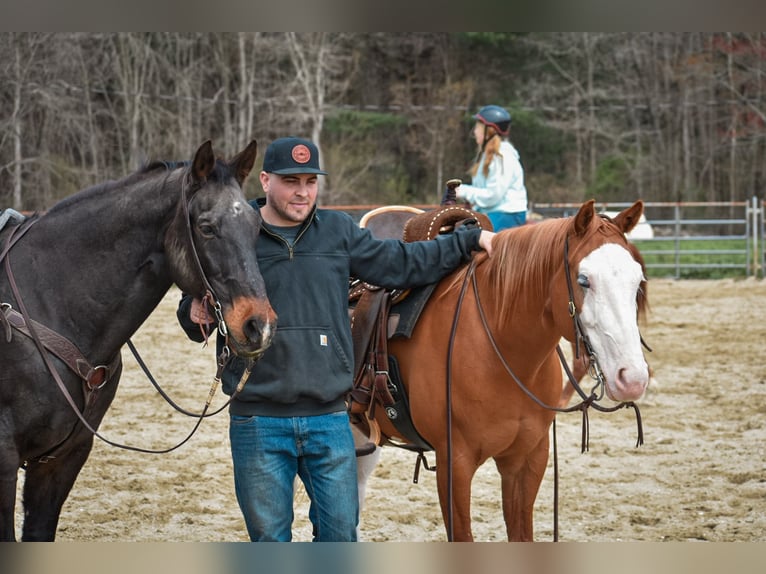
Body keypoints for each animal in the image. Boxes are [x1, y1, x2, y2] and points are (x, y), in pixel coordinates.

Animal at [0, 142, 276, 544]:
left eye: (256, 227)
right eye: (207, 227)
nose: (259, 325)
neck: (47, 301)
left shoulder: (61, 460)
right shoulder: (4, 459)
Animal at [354, 200, 648, 544]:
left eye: (637, 281)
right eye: (584, 280)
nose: (632, 378)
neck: (501, 348)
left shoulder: (527, 459)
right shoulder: (454, 464)